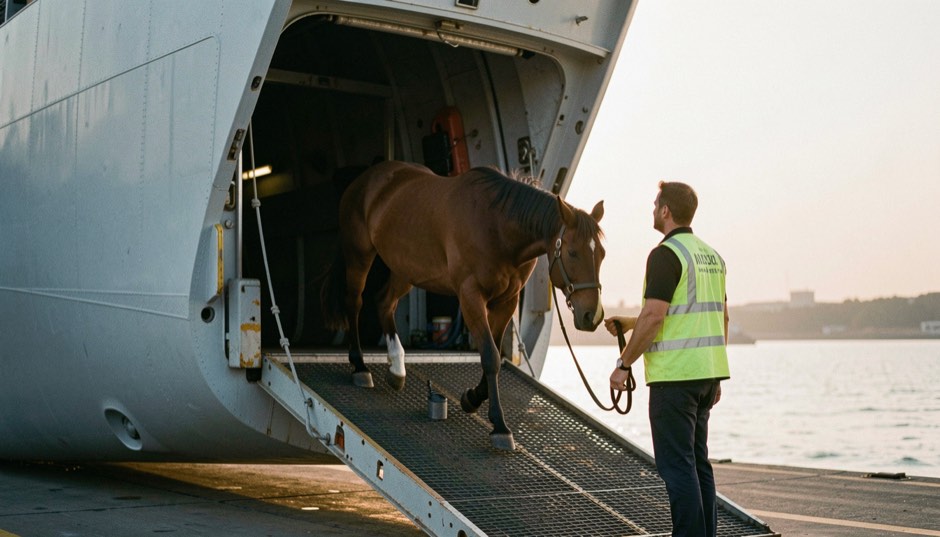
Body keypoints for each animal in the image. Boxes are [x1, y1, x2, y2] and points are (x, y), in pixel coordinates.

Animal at [321, 161, 605, 450]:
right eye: (572, 252)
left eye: (602, 254)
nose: (592, 316)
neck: (497, 227)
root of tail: (367, 177)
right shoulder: (471, 296)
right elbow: (490, 356)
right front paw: (499, 426)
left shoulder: (507, 301)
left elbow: (496, 355)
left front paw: (471, 398)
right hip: (359, 255)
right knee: (355, 303)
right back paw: (360, 366)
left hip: (406, 269)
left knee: (384, 303)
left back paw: (397, 369)